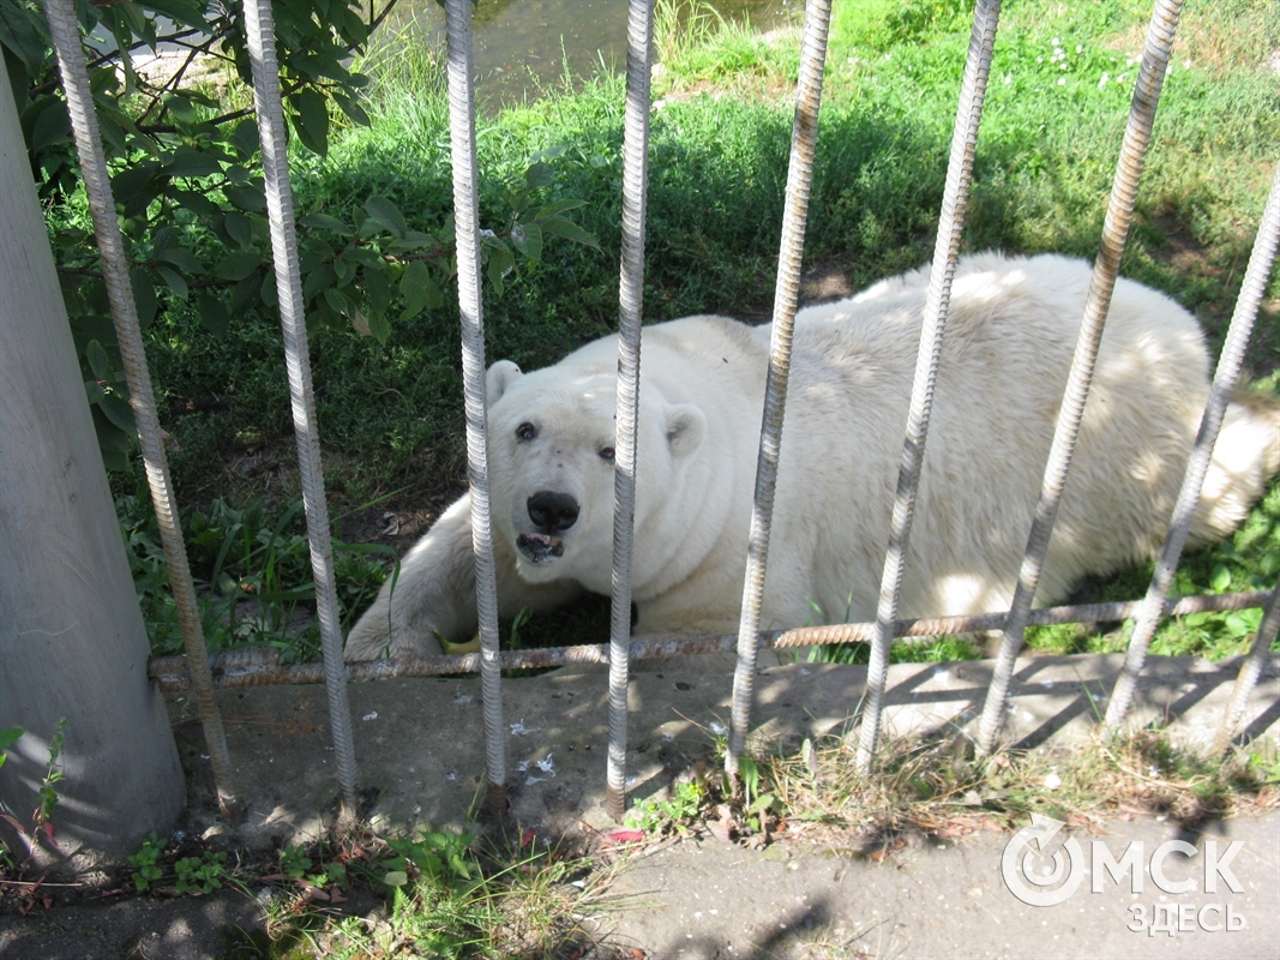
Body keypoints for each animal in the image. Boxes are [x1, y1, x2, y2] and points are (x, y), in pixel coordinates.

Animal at [345, 252, 1280, 665]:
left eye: (616, 452)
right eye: (525, 430)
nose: (553, 508)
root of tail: (1173, 325)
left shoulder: (725, 546)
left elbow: (698, 629)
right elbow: (465, 550)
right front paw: (388, 644)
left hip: (1126, 457)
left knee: (1210, 480)